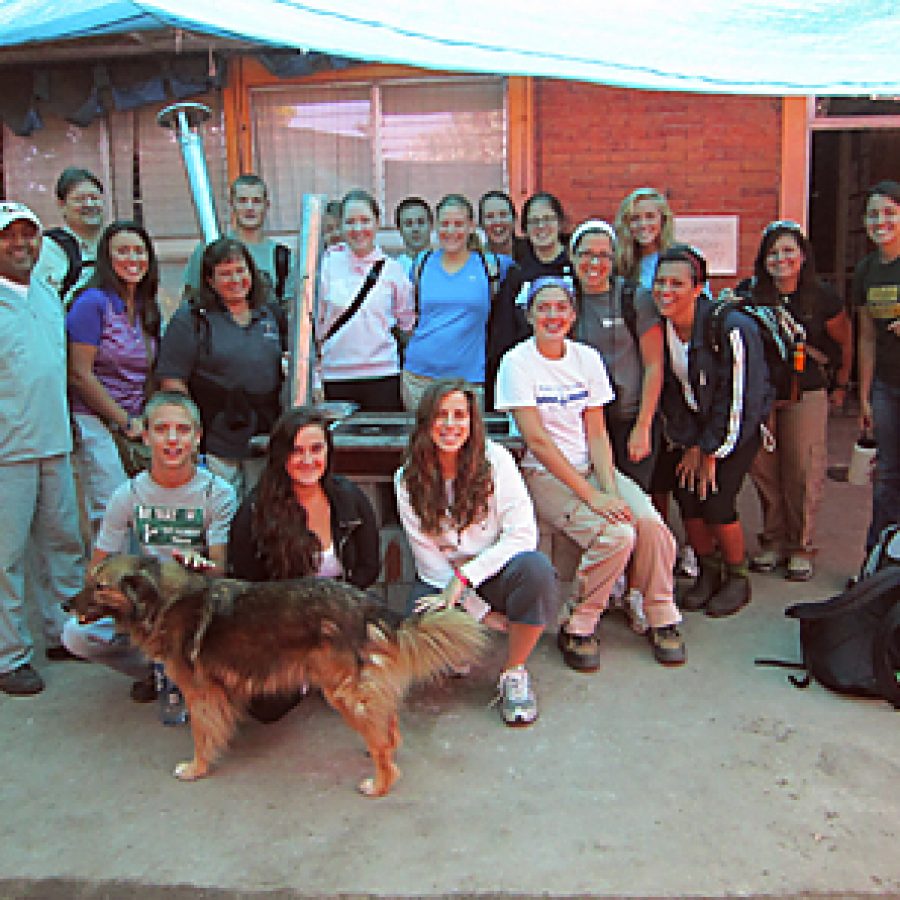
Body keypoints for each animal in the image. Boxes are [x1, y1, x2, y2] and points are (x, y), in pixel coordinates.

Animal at [71, 556, 488, 796]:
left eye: (99, 586)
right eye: (88, 580)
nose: (65, 604)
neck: (161, 599)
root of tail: (364, 603)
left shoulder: (199, 691)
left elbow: (201, 734)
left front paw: (196, 768)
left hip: (341, 690)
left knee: (383, 739)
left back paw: (380, 783)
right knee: (387, 724)